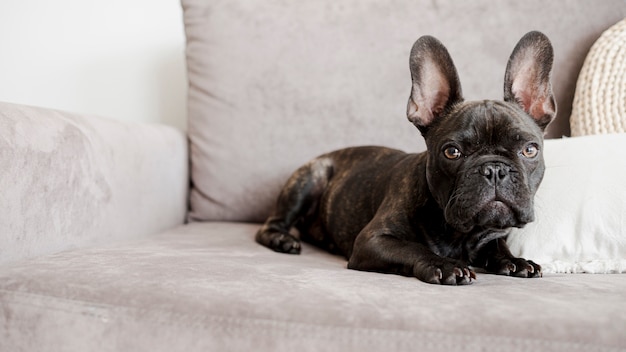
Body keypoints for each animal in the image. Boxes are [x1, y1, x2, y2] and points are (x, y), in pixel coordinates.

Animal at [256, 32, 552, 286]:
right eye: (452, 152)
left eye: (530, 150)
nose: (494, 169)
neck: (462, 233)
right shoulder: (373, 240)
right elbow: (413, 248)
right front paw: (444, 265)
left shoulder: (493, 232)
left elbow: (498, 245)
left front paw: (516, 260)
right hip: (309, 180)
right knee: (270, 225)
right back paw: (283, 241)